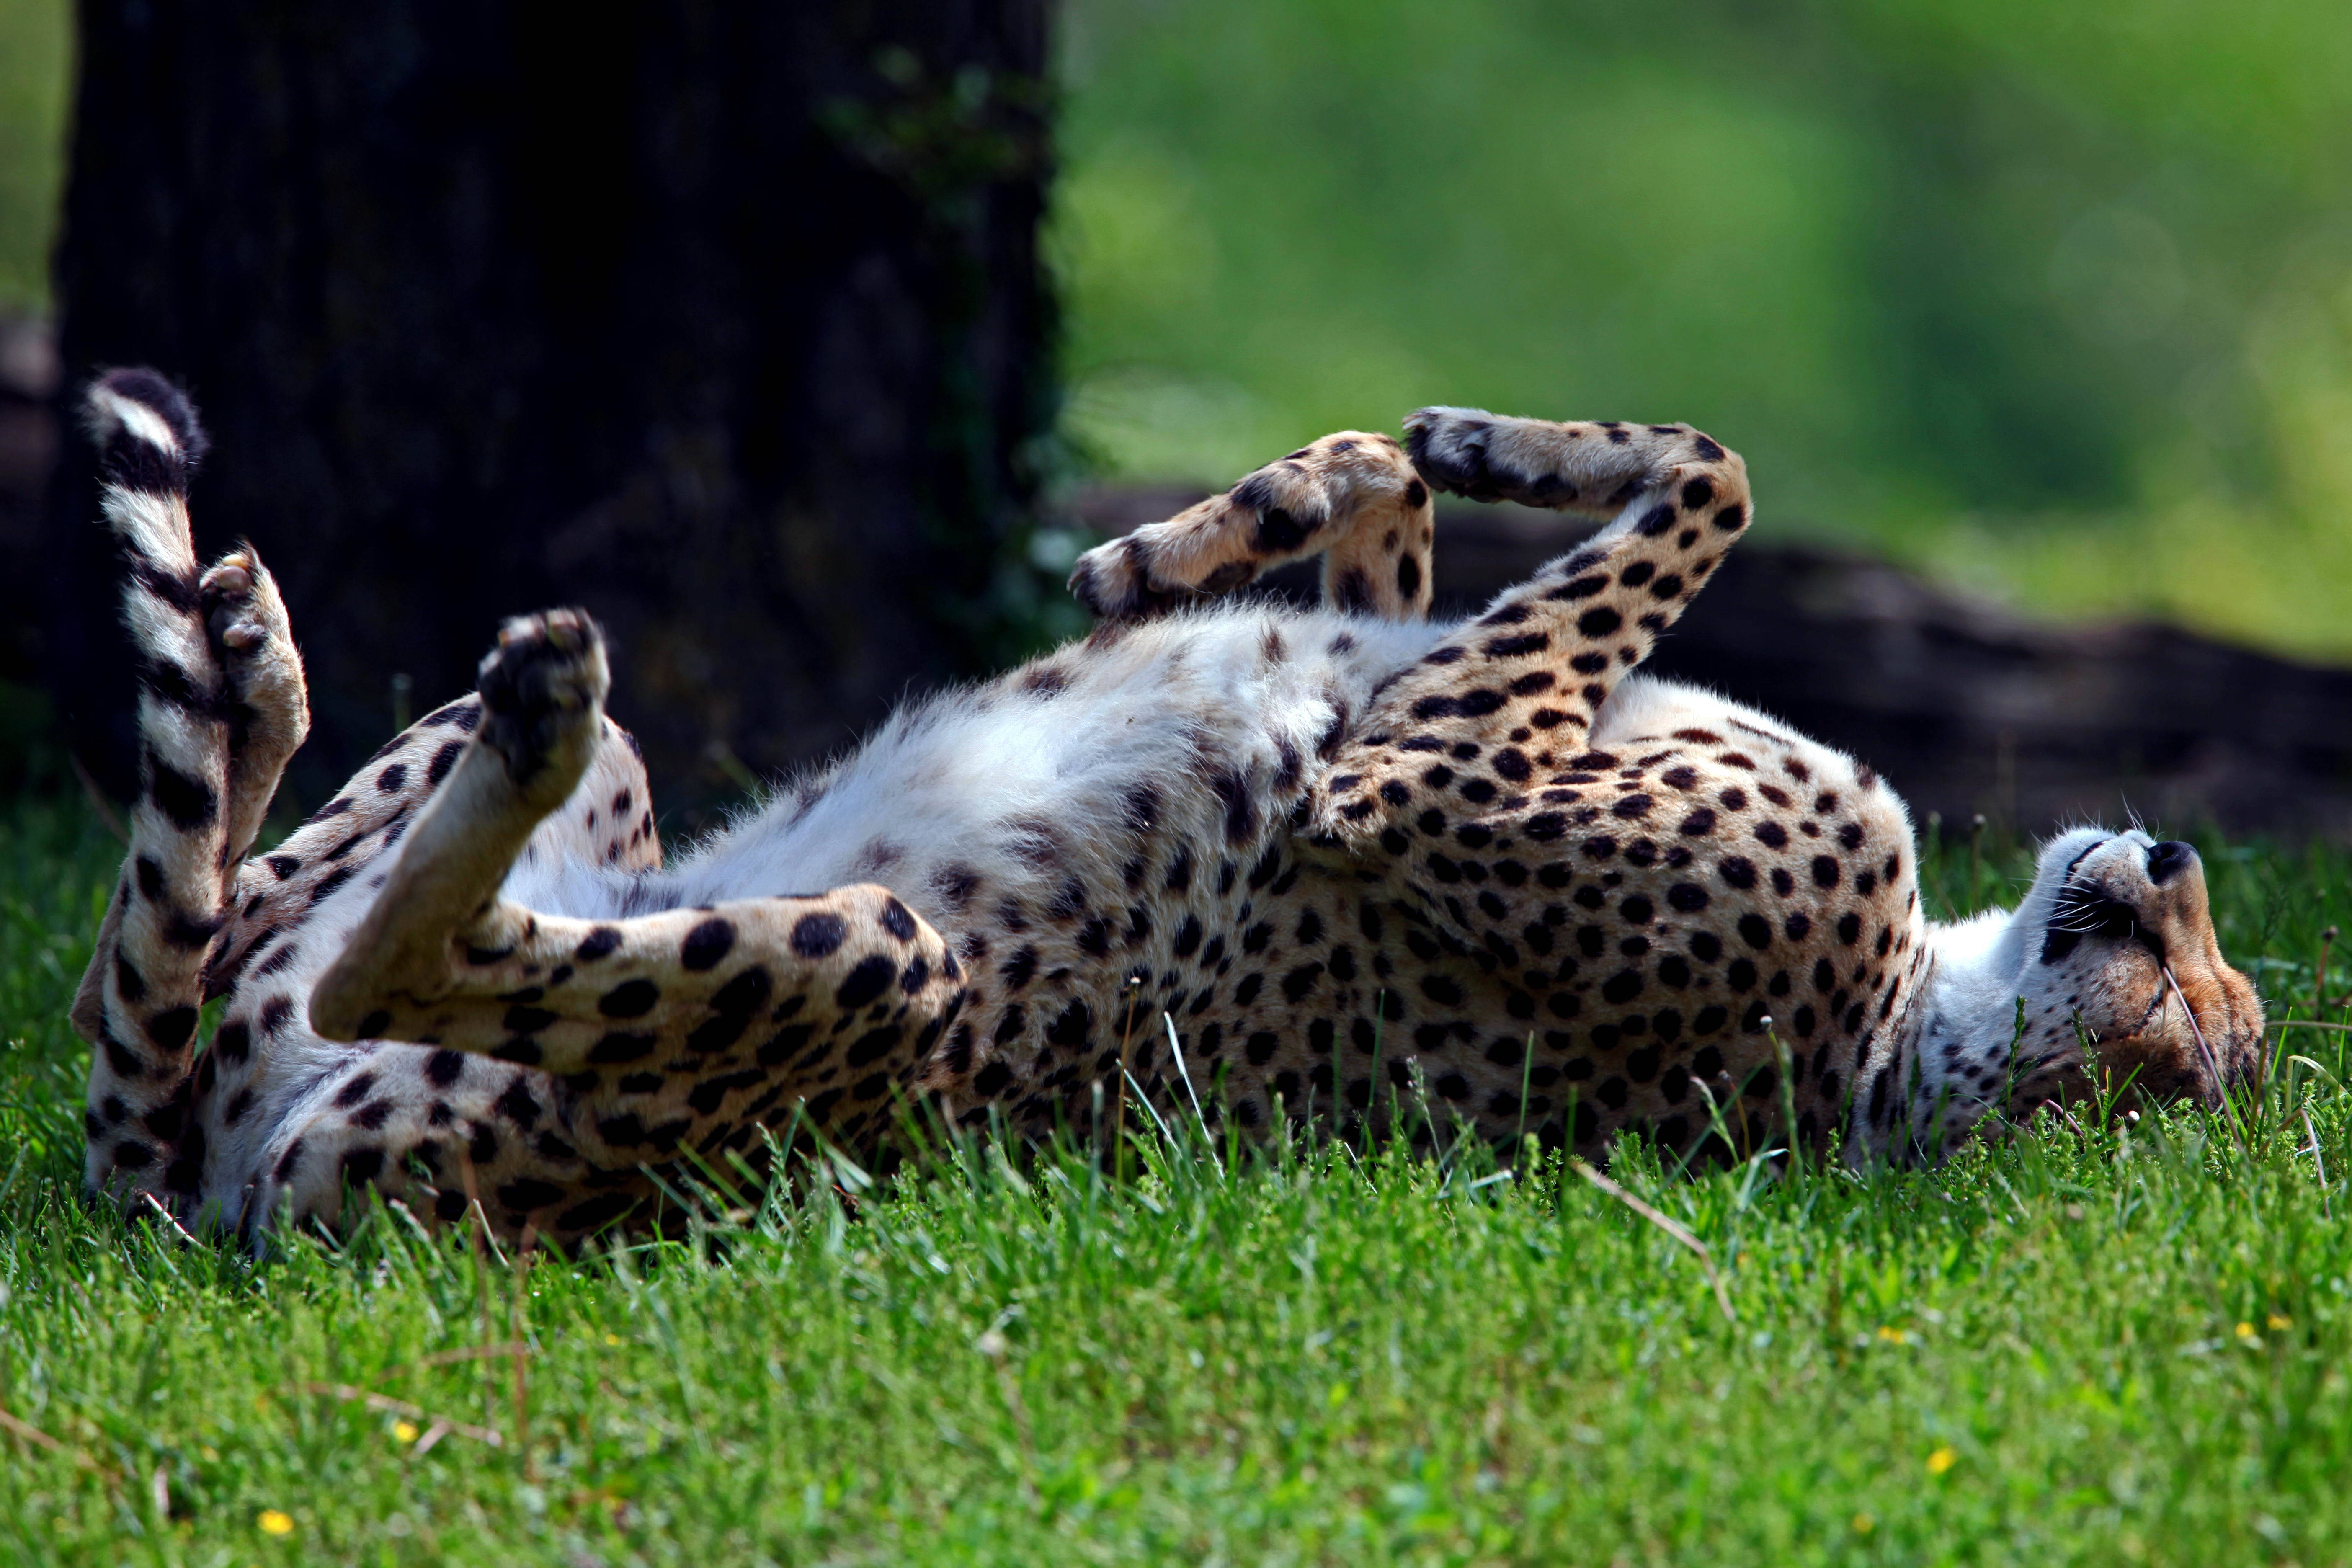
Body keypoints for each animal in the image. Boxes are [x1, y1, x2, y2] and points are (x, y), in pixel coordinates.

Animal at [69, 366, 2265, 1247]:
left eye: (2200, 1037)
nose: (2171, 853)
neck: (1896, 1031)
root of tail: (211, 1193)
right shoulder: (1419, 685)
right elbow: (1423, 511)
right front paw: (1226, 523)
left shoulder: (1418, 774)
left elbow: (1712, 478)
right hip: (577, 847)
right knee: (180, 937)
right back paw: (258, 657)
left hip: (880, 981)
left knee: (356, 962)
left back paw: (507, 706)